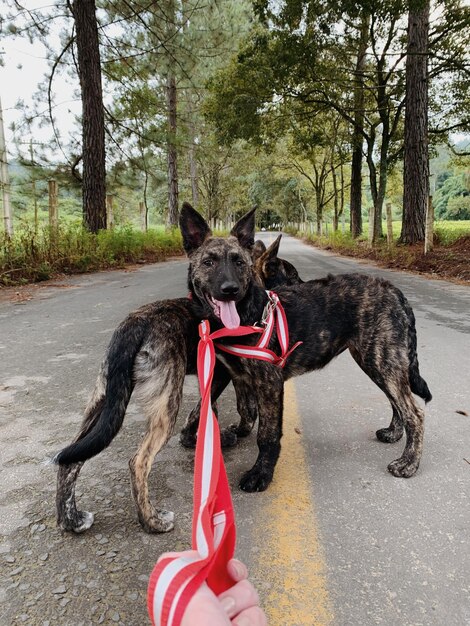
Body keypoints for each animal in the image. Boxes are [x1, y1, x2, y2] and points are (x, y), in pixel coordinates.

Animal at [53, 204, 432, 532]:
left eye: (239, 262)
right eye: (208, 262)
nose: (229, 289)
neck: (247, 313)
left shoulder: (264, 381)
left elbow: (265, 432)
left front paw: (259, 474)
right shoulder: (237, 376)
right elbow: (241, 413)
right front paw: (233, 437)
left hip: (380, 359)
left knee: (412, 410)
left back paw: (408, 462)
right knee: (91, 458)